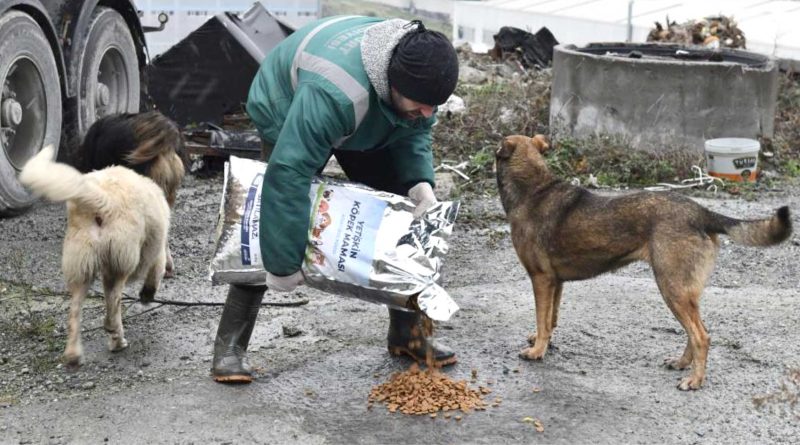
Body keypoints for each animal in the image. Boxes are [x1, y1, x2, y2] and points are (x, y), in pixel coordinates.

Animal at [20, 146, 170, 368]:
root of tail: (103, 200)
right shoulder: (156, 251)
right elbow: (155, 274)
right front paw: (147, 295)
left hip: (81, 268)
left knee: (75, 312)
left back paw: (74, 355)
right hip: (122, 261)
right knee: (114, 302)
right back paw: (116, 336)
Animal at [496, 134, 792, 388]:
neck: (534, 188)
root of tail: (701, 212)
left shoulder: (541, 279)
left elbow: (542, 319)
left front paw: (537, 351)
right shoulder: (555, 282)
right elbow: (550, 319)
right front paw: (541, 341)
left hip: (671, 287)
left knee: (701, 336)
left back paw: (694, 380)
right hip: (684, 292)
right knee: (697, 331)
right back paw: (682, 363)